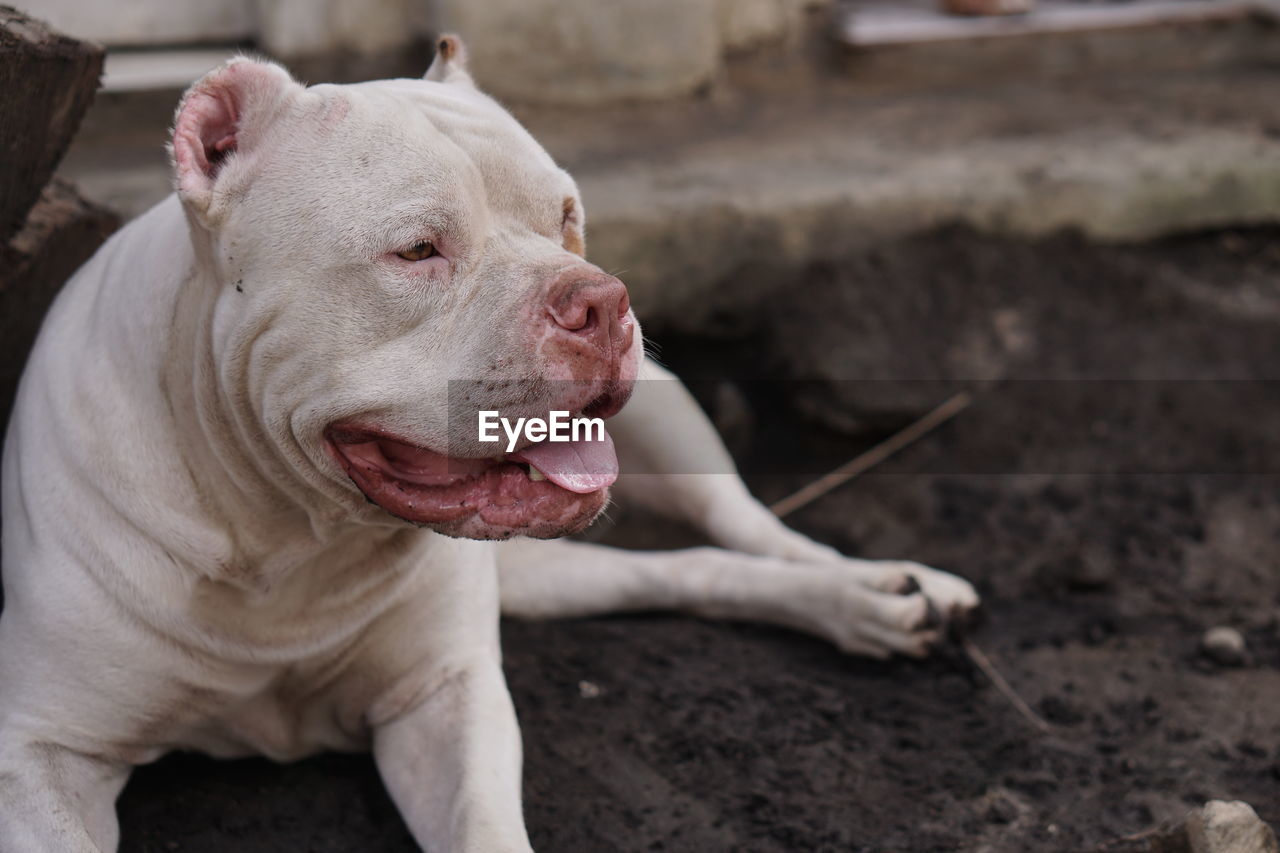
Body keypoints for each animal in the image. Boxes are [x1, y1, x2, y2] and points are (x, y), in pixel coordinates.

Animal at [0, 36, 972, 845]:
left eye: (568, 215)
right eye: (417, 250)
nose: (602, 299)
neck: (288, 540)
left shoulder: (448, 696)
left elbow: (482, 825)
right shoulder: (38, 752)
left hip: (672, 427)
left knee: (744, 528)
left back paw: (885, 588)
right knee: (679, 569)